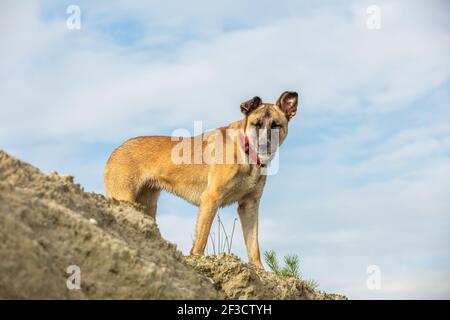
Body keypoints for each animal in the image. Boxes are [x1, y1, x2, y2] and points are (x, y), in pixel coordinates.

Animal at [104, 90, 298, 268]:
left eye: (276, 125)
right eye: (256, 124)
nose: (264, 145)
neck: (245, 151)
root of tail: (116, 150)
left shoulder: (249, 206)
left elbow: (253, 245)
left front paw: (260, 270)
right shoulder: (210, 199)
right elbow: (201, 240)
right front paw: (197, 261)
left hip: (148, 205)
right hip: (125, 197)